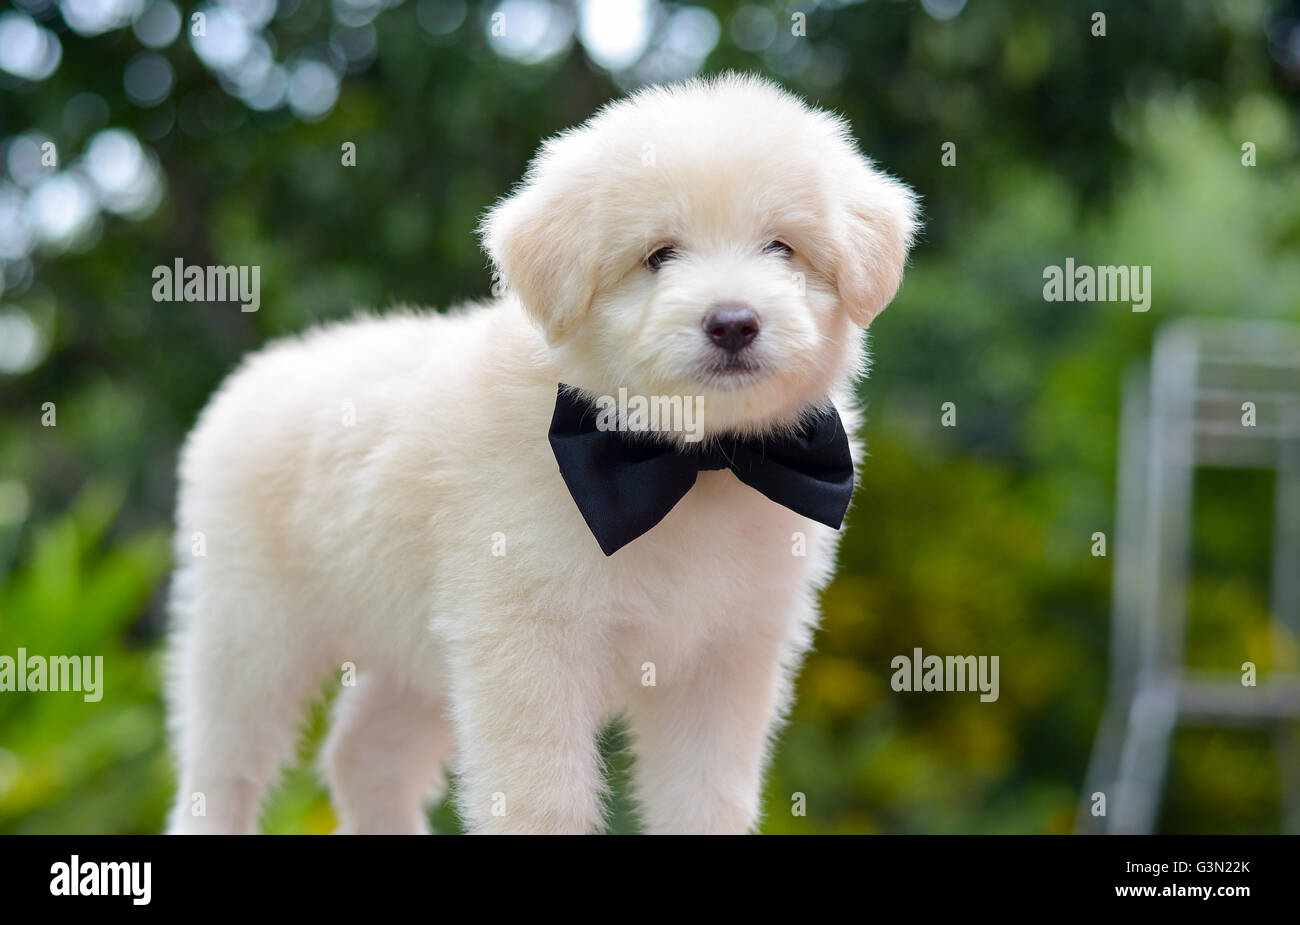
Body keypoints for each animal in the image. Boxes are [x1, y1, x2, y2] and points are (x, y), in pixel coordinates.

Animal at [167, 74, 920, 836]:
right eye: (659, 255)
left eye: (782, 247)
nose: (734, 322)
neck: (685, 465)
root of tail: (255, 374)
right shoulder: (526, 649)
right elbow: (538, 799)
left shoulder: (724, 660)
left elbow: (706, 798)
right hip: (249, 635)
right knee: (221, 772)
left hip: (416, 652)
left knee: (366, 754)